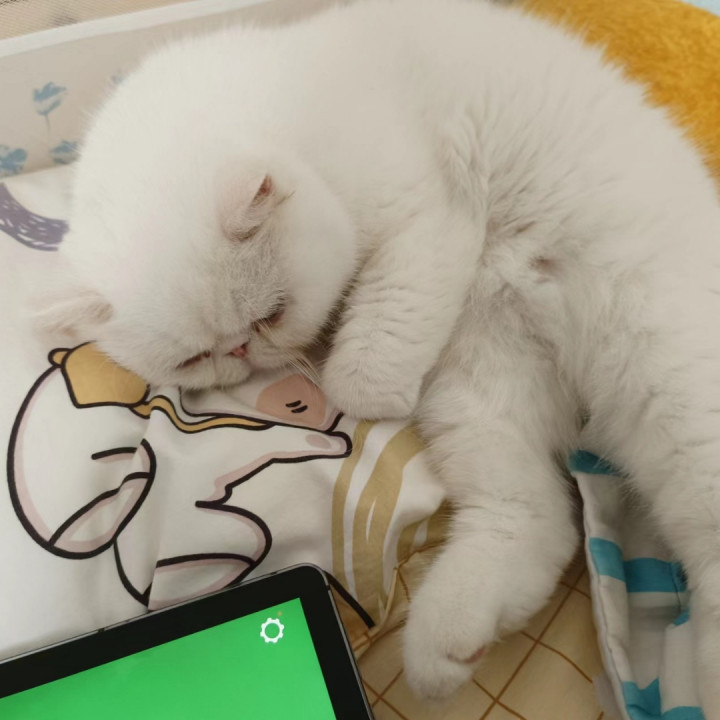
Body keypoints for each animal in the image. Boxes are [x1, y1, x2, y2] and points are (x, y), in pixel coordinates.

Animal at [35, 0, 720, 711]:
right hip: (477, 394)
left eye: (270, 314)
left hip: (668, 386)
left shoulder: (427, 218)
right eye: (197, 359)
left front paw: (353, 388)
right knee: (533, 520)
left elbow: (379, 327)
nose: (244, 351)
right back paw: (447, 642)